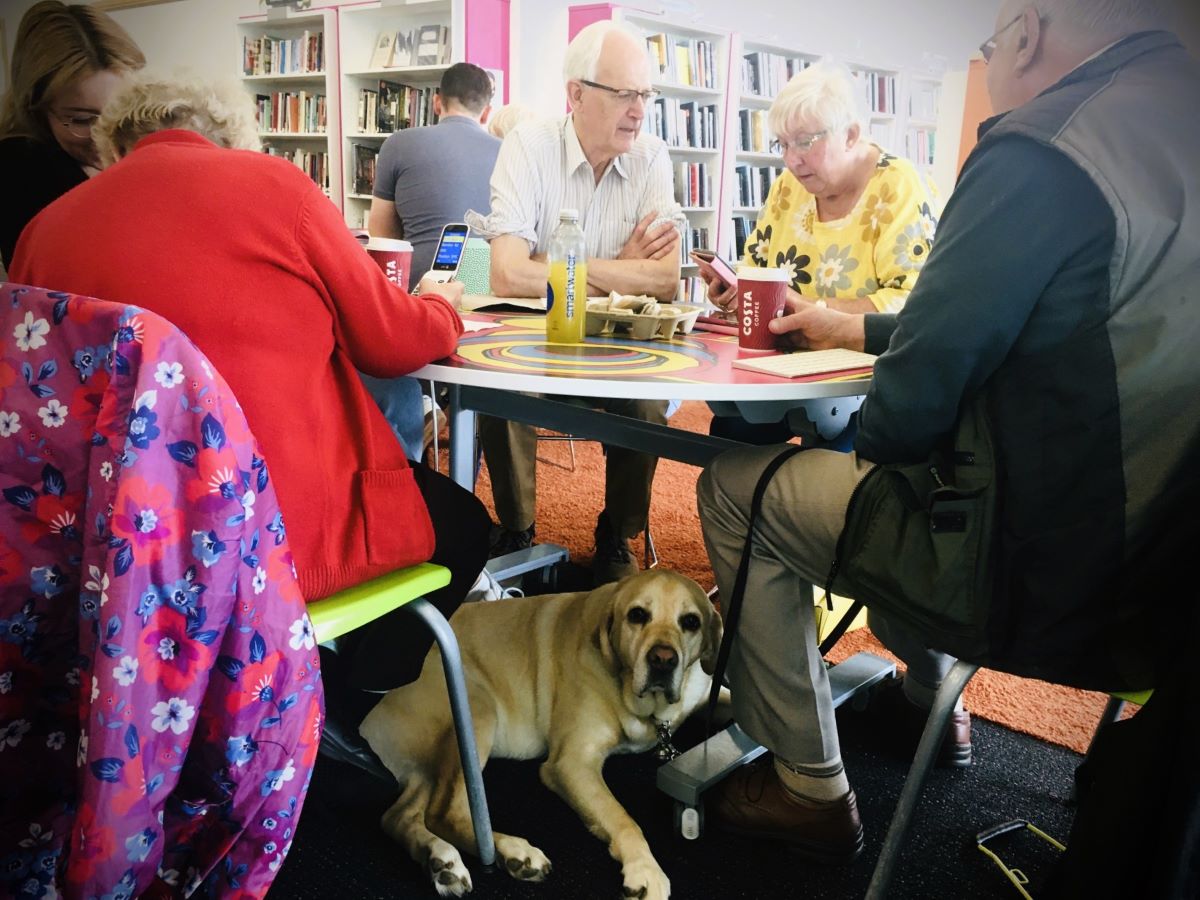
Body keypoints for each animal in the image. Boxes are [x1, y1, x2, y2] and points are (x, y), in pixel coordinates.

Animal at [357, 571, 720, 900]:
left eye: (691, 621)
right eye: (637, 615)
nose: (663, 660)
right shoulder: (571, 763)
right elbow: (623, 818)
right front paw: (645, 870)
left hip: (428, 767)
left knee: (398, 816)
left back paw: (441, 861)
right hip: (476, 708)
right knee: (443, 813)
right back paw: (513, 852)